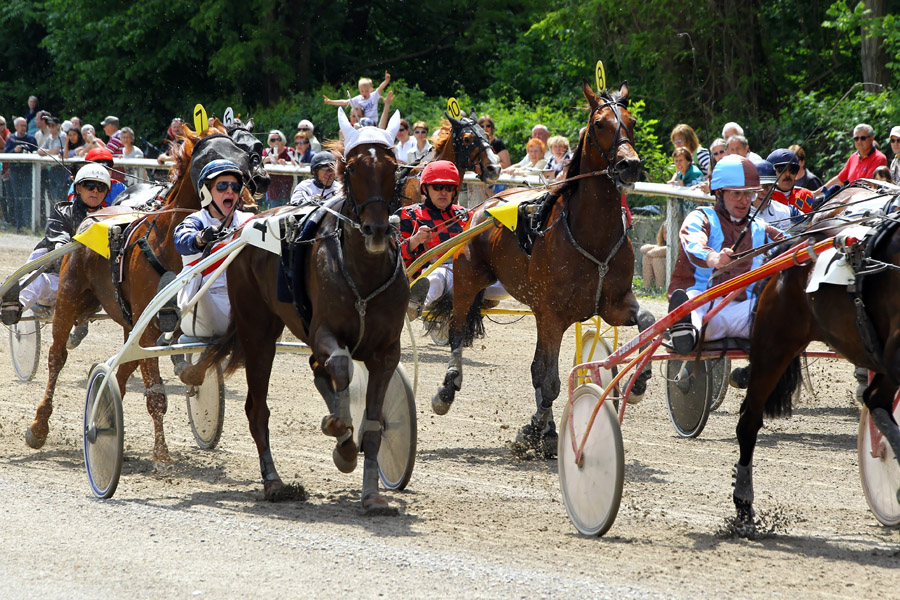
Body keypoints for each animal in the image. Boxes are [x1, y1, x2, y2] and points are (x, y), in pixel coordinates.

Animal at [25, 123, 268, 468]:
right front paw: (162, 456)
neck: (170, 246)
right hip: (69, 299)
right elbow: (156, 394)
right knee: (56, 356)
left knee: (121, 372)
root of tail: (93, 219)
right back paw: (39, 427)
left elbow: (199, 367)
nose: (247, 202)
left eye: (249, 154)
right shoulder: (149, 329)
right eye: (210, 156)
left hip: (128, 324)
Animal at [188, 110, 410, 508]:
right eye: (352, 167)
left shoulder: (386, 351)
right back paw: (274, 481)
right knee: (257, 408)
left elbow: (373, 424)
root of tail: (242, 231)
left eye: (393, 166)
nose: (376, 230)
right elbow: (340, 367)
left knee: (317, 371)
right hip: (258, 332)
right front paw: (340, 438)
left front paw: (372, 495)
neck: (363, 275)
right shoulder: (323, 332)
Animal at [428, 82, 652, 458]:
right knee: (458, 332)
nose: (629, 165)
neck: (592, 236)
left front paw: (640, 379)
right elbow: (548, 380)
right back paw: (447, 389)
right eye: (600, 124)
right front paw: (534, 431)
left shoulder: (613, 304)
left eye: (632, 121)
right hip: (468, 279)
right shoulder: (553, 314)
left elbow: (647, 320)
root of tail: (485, 204)